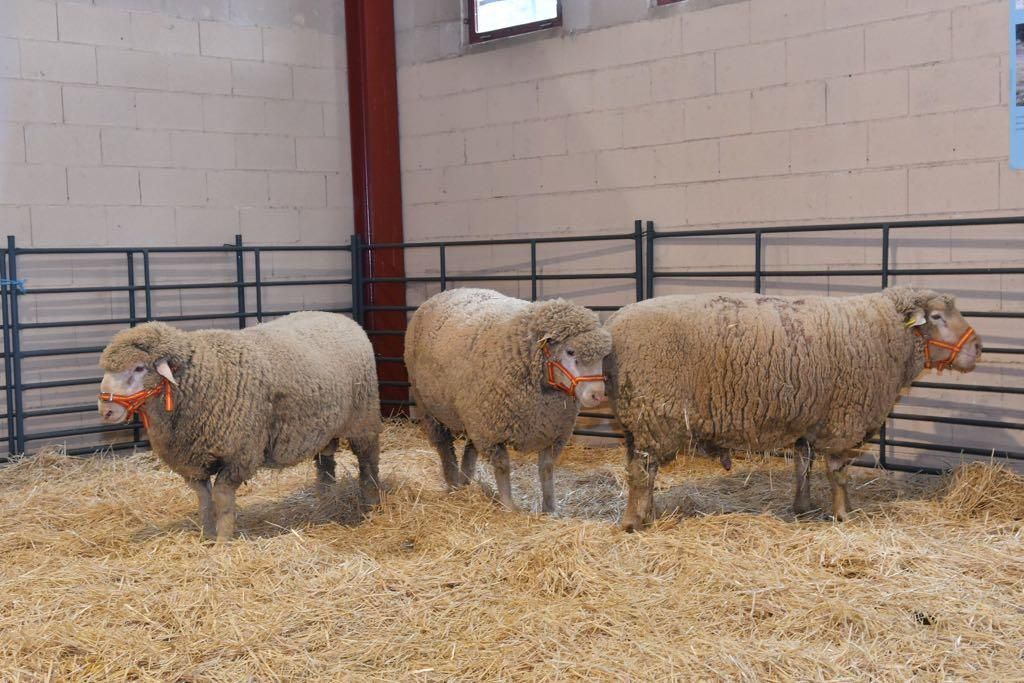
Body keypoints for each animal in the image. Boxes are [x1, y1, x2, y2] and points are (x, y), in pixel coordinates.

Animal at [96, 313, 380, 540]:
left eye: (139, 368)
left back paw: (372, 503)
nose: (106, 411)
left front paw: (223, 541)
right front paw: (207, 536)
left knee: (368, 461)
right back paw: (325, 502)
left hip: (363, 418)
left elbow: (222, 499)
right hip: (325, 427)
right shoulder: (193, 461)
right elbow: (204, 501)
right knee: (326, 463)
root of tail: (343, 318)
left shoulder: (239, 454)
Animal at [403, 286, 610, 511]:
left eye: (603, 357)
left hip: (473, 415)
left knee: (470, 447)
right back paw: (453, 483)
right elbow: (502, 467)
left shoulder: (553, 431)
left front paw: (550, 508)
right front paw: (509, 506)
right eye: (570, 351)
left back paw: (465, 481)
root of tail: (446, 292)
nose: (597, 395)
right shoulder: (493, 432)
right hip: (431, 408)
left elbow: (546, 469)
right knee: (444, 446)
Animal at [602, 286, 978, 532]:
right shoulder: (843, 418)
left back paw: (646, 514)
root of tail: (613, 324)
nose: (978, 347)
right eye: (937, 317)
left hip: (637, 419)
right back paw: (635, 522)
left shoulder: (811, 417)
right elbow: (838, 472)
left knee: (640, 469)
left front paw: (804, 507)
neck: (884, 332)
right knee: (643, 472)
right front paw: (843, 514)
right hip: (654, 413)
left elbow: (803, 465)